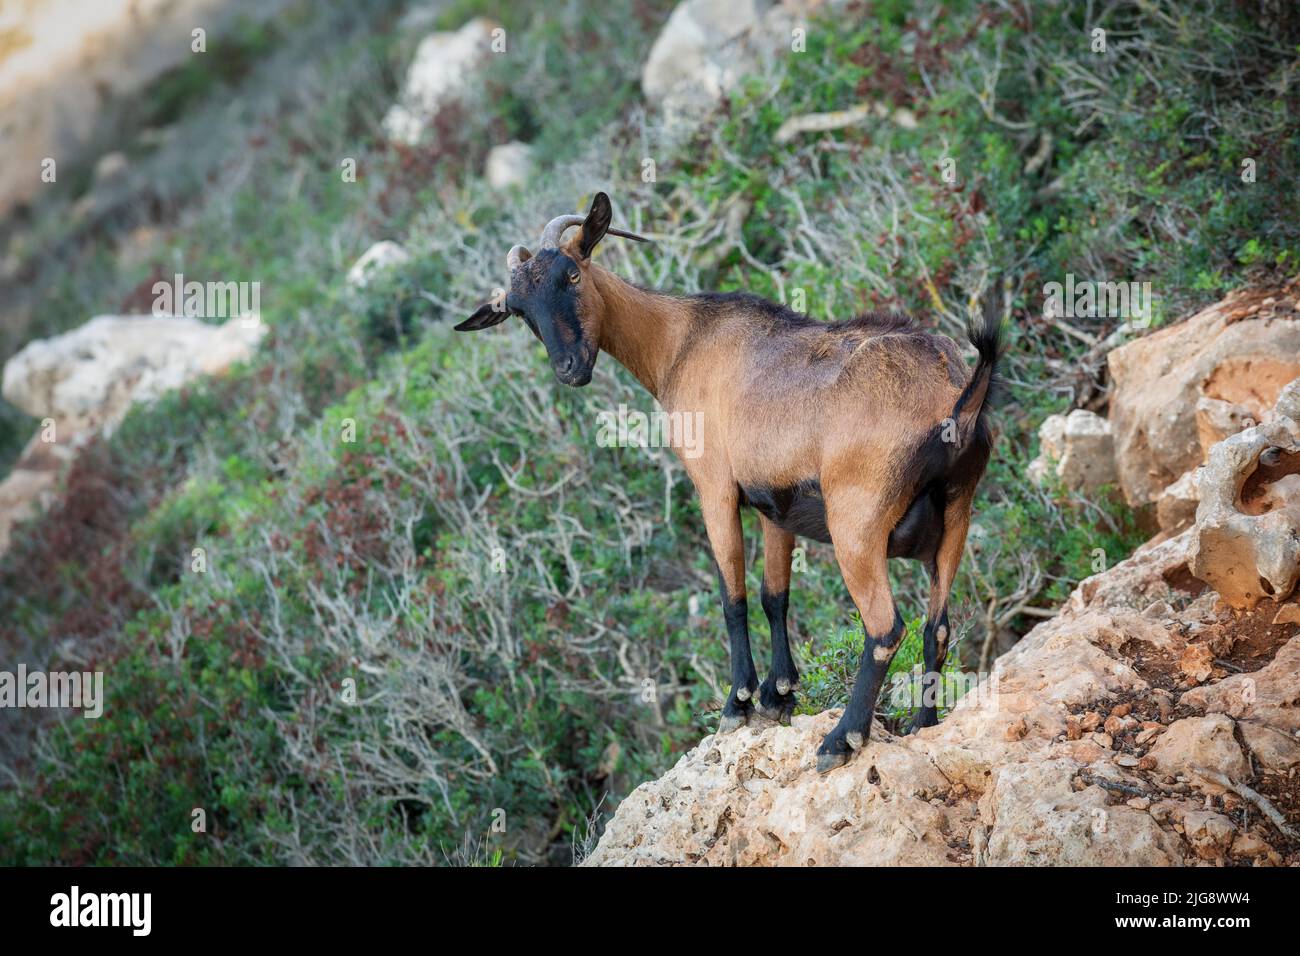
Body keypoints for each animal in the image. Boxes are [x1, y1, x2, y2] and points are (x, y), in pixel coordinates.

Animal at [460, 191, 1003, 775]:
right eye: (519, 310)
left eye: (573, 272)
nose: (569, 368)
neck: (682, 342)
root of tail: (956, 393)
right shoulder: (776, 504)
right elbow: (774, 594)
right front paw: (778, 693)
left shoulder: (714, 485)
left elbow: (732, 593)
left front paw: (737, 702)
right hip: (957, 513)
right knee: (936, 625)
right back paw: (924, 726)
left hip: (856, 522)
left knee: (885, 627)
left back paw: (840, 740)